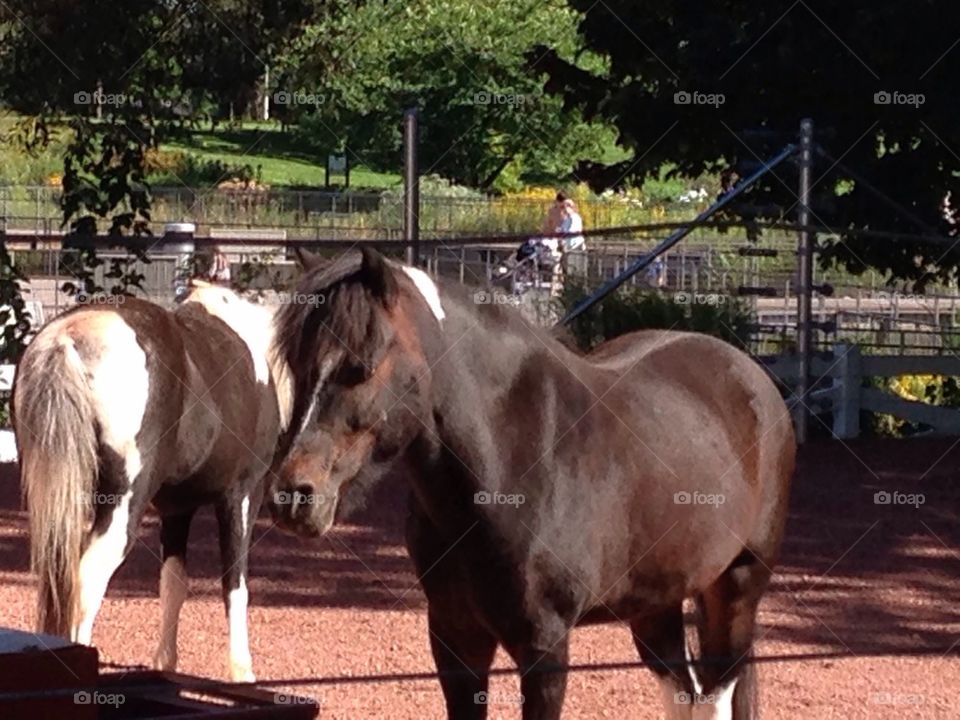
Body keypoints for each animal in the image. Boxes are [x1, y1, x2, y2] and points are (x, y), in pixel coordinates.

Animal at [12, 282, 292, 681]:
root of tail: (68, 338)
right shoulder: (241, 496)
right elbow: (235, 584)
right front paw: (242, 671)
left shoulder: (177, 509)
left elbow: (173, 584)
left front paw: (165, 663)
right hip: (123, 504)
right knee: (88, 578)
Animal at [268, 248, 795, 720]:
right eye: (294, 366)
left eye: (360, 365)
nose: (293, 495)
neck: (509, 465)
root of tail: (751, 375)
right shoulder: (455, 638)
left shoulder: (544, 646)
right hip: (657, 603)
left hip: (737, 588)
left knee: (714, 696)